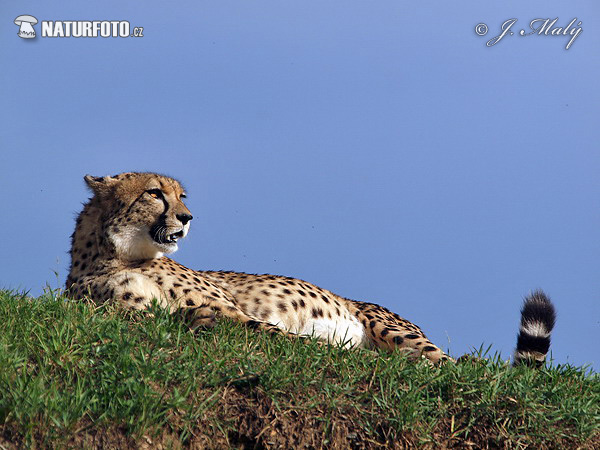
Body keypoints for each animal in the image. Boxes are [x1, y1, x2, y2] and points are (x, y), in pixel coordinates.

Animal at [67, 172, 556, 366]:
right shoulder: (133, 314)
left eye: (181, 196)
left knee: (447, 361)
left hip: (387, 326)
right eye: (155, 193)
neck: (117, 253)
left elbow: (270, 331)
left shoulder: (228, 309)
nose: (188, 218)